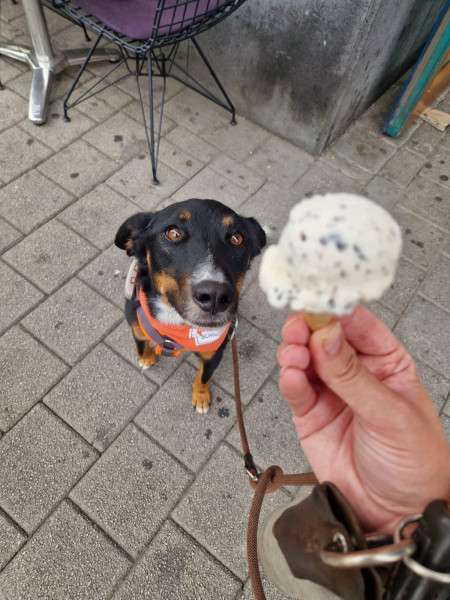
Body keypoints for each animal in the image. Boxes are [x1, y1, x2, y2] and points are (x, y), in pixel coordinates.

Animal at [114, 198, 268, 412]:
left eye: (237, 238)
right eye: (174, 233)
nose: (215, 296)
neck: (177, 325)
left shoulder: (213, 354)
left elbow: (203, 377)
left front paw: (201, 397)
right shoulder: (136, 322)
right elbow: (141, 343)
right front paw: (146, 358)